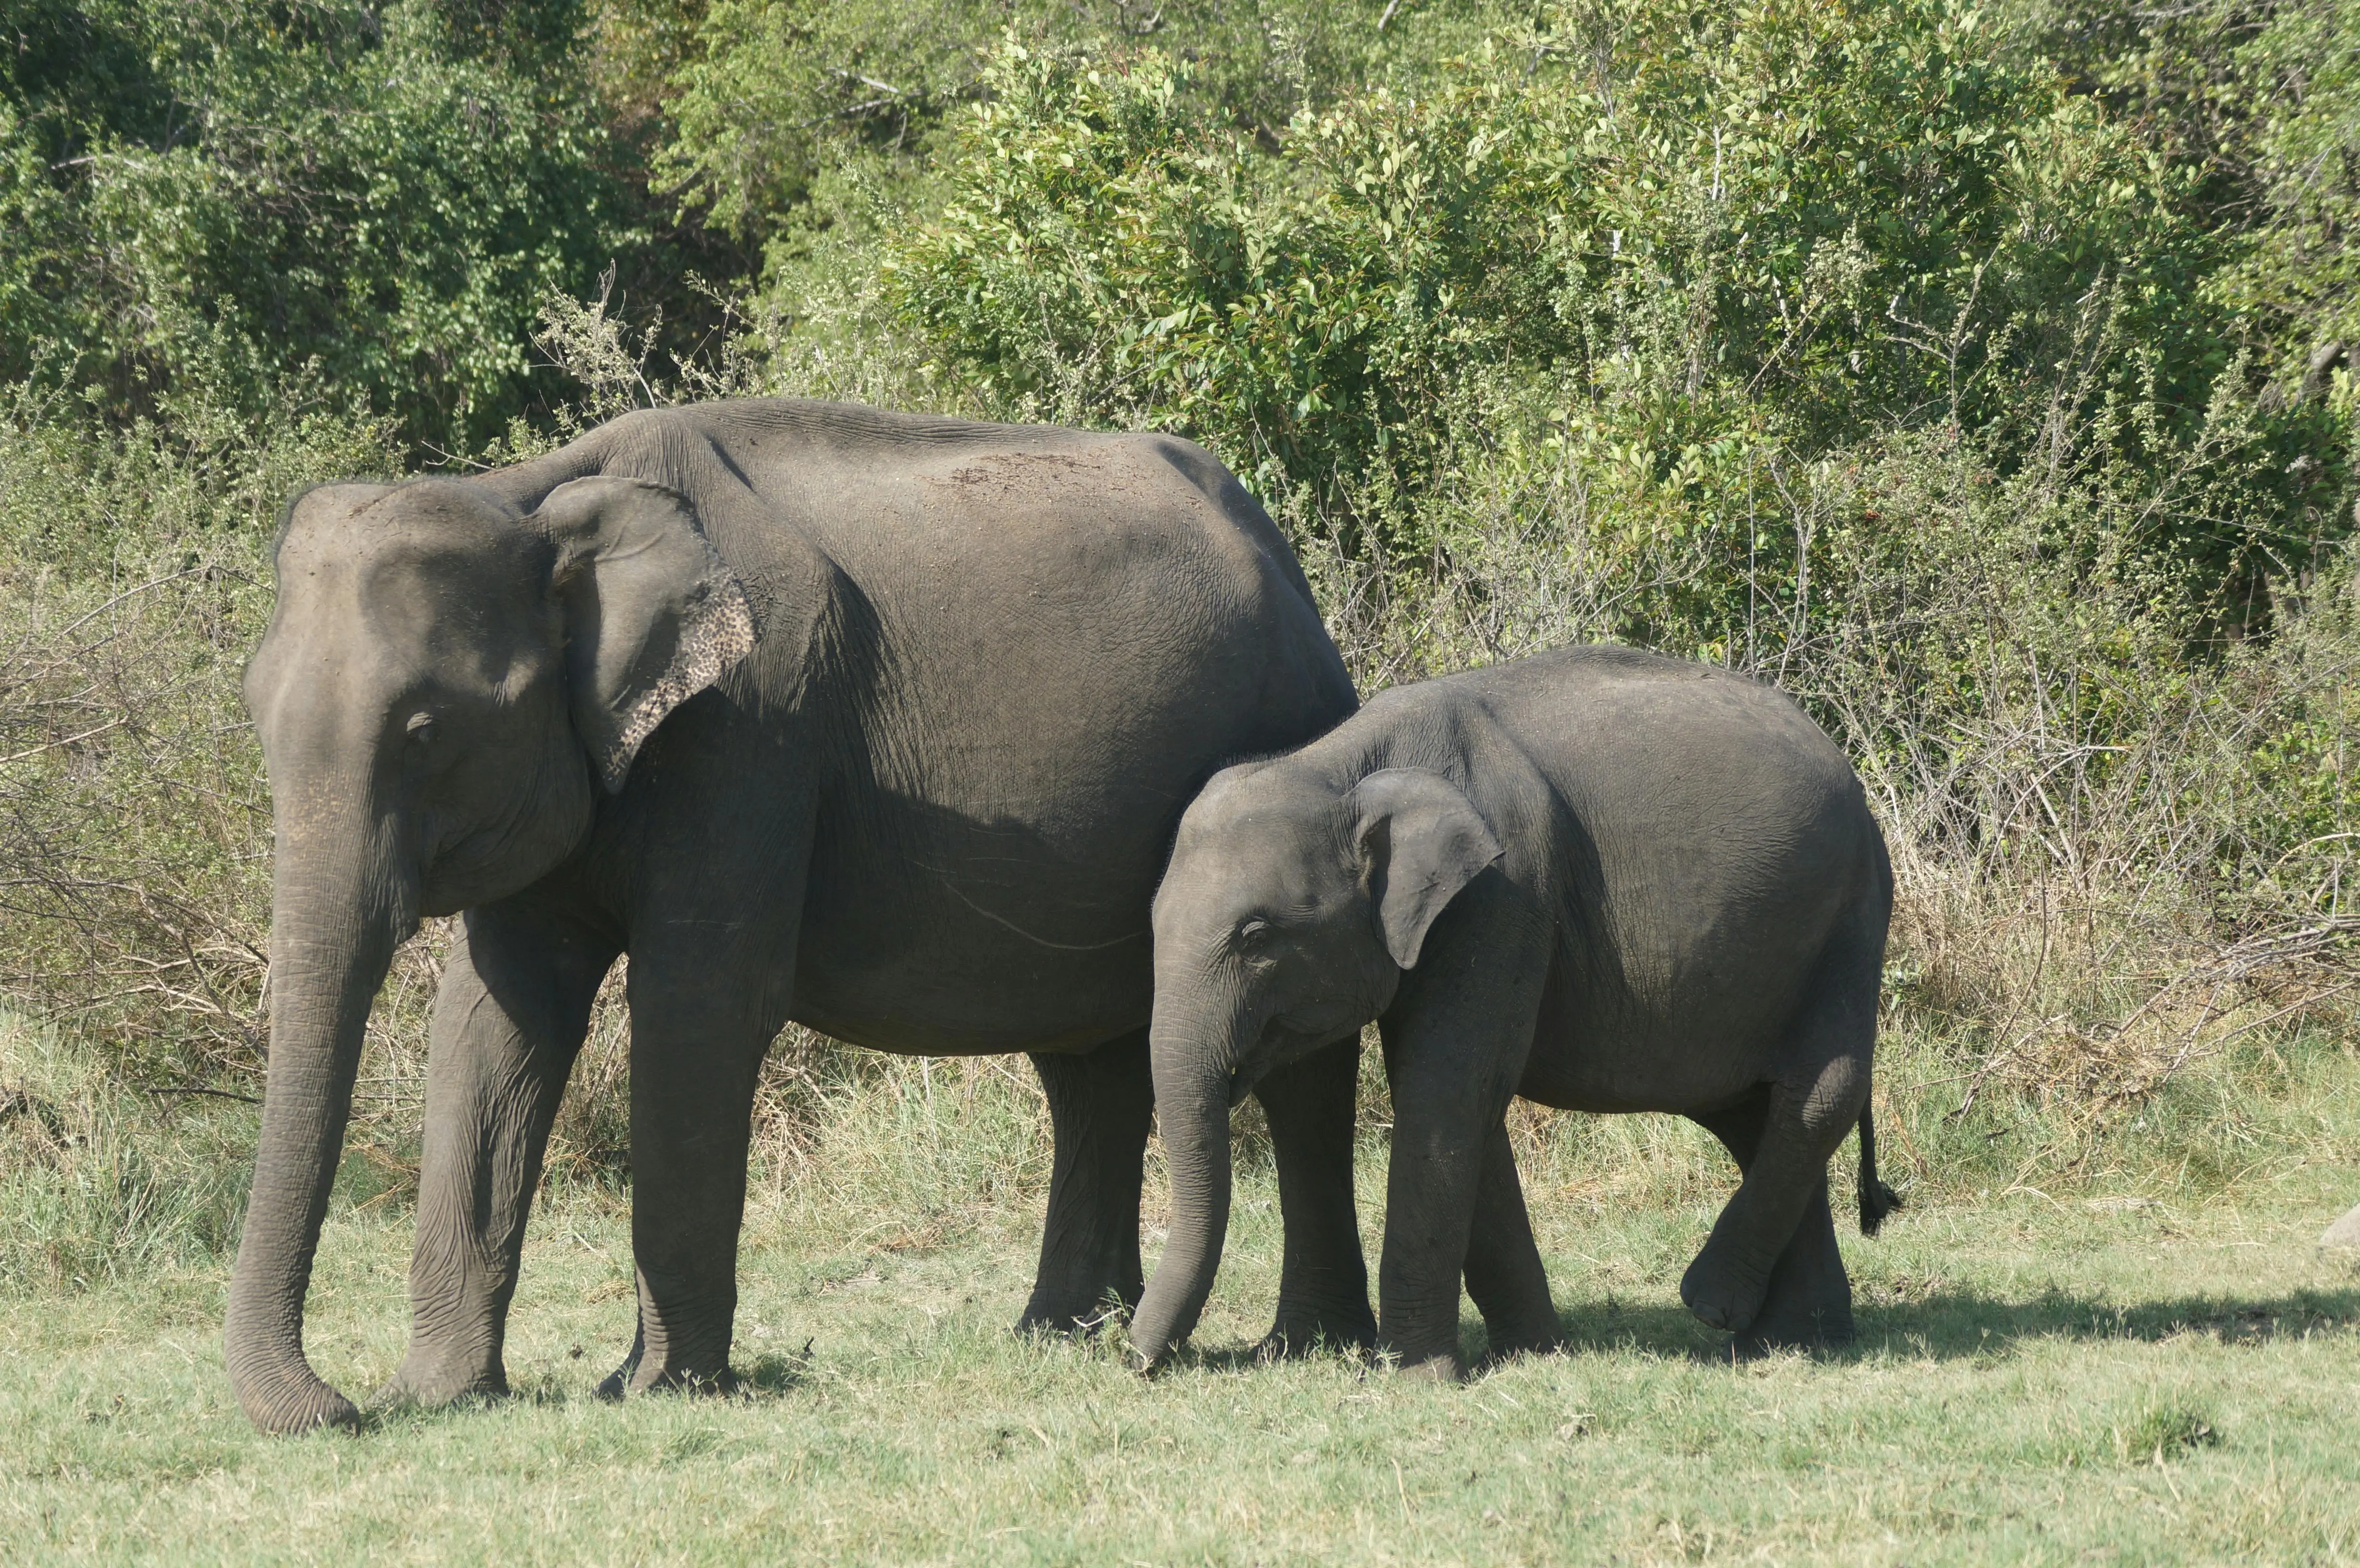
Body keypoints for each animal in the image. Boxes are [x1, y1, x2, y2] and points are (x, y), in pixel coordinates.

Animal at [226, 397, 1374, 1433]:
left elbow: (698, 1009)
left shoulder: (750, 732)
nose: (335, 1409)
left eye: (424, 731)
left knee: (1295, 1064)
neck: (534, 495)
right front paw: (440, 1397)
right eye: (253, 714)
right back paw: (1065, 1334)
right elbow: (498, 1021)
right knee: (1088, 1064)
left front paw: (649, 1391)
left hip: (1289, 727)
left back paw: (1302, 1343)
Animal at [1128, 645, 1902, 1378]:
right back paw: (1787, 1339)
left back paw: (1716, 1307)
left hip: (1849, 918)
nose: (1133, 1358)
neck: (1344, 766)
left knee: (1819, 1093)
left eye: (1256, 938)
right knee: (1752, 1114)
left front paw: (1414, 1379)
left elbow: (1446, 1093)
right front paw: (1532, 1354)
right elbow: (1464, 1103)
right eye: (1153, 925)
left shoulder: (1505, 895)